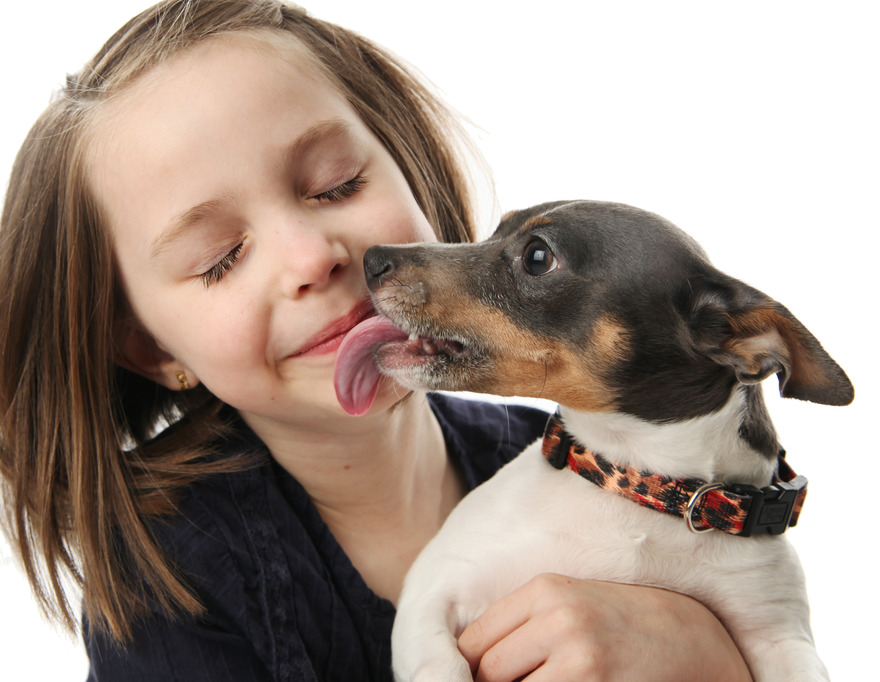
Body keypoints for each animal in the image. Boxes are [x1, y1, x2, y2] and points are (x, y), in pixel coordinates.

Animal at [340, 199, 848, 676]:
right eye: (495, 231)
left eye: (538, 256)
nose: (372, 257)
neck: (637, 482)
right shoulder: (432, 590)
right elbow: (442, 666)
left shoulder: (780, 635)